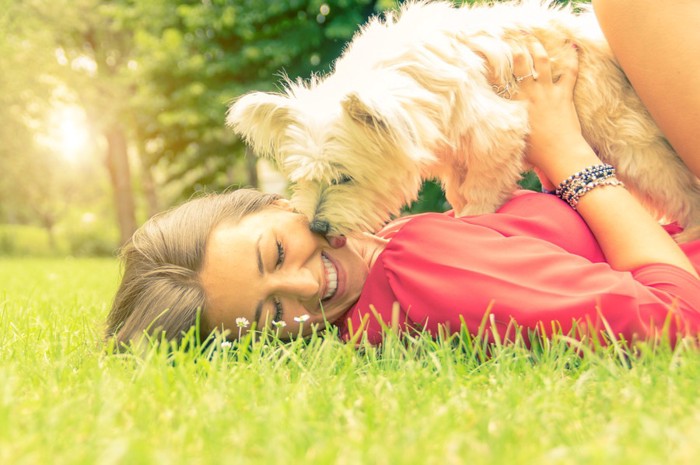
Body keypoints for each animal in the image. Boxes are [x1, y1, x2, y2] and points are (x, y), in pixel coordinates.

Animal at [228, 0, 700, 239]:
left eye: (344, 178)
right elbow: (458, 186)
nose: (316, 225)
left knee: (684, 191)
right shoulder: (453, 149)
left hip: (632, 147)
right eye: (302, 179)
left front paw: (475, 219)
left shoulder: (497, 130)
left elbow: (481, 189)